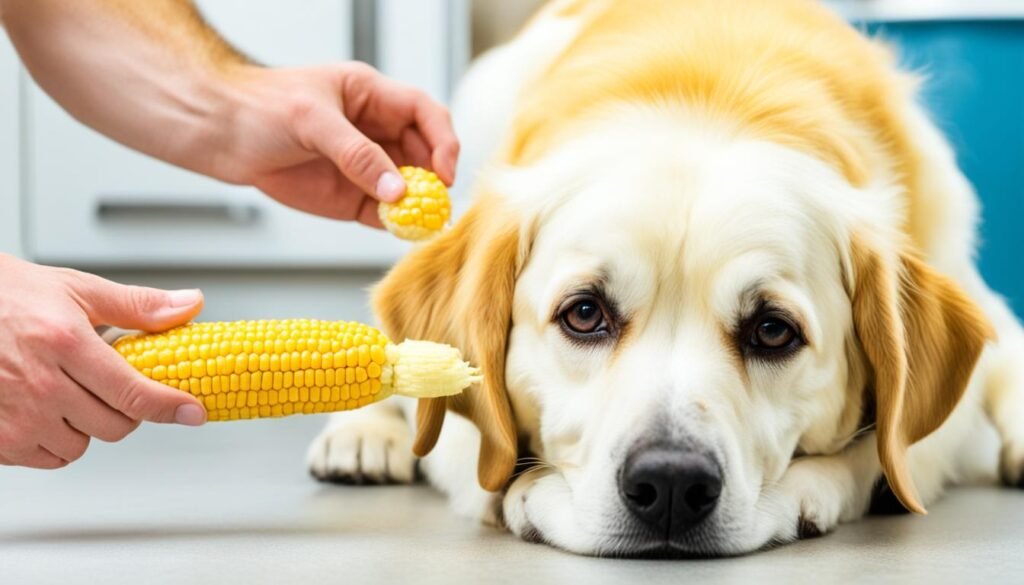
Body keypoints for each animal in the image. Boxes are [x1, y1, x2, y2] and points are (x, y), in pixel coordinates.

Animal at [307, 0, 1024, 557]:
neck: (710, 100)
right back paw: (362, 434)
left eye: (774, 330)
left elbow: (885, 448)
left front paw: (808, 491)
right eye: (584, 314)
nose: (672, 485)